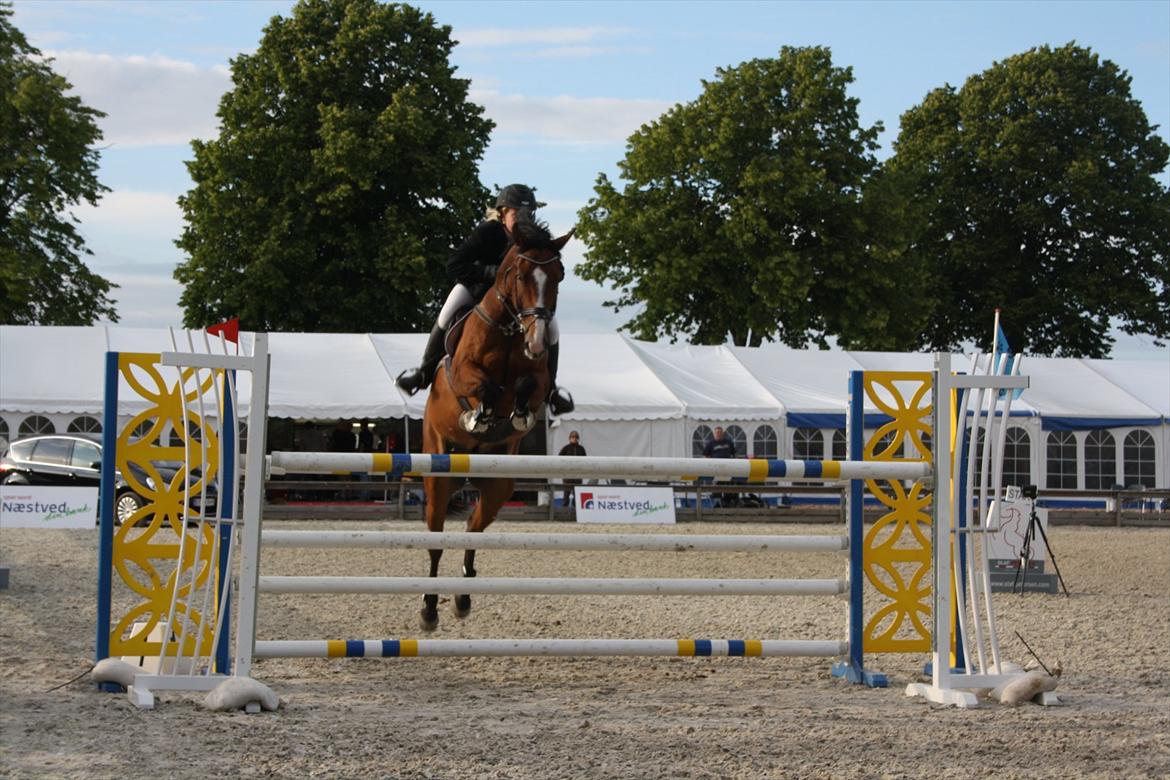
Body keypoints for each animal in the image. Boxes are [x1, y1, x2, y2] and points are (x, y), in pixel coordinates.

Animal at [421, 221, 570, 636]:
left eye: (559, 276)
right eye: (520, 276)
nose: (537, 341)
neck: (509, 329)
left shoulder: (538, 378)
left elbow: (527, 385)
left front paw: (516, 413)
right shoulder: (462, 373)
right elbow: (484, 386)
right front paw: (479, 416)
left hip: (498, 485)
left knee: (473, 529)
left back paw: (463, 597)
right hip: (438, 475)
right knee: (436, 539)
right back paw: (429, 608)